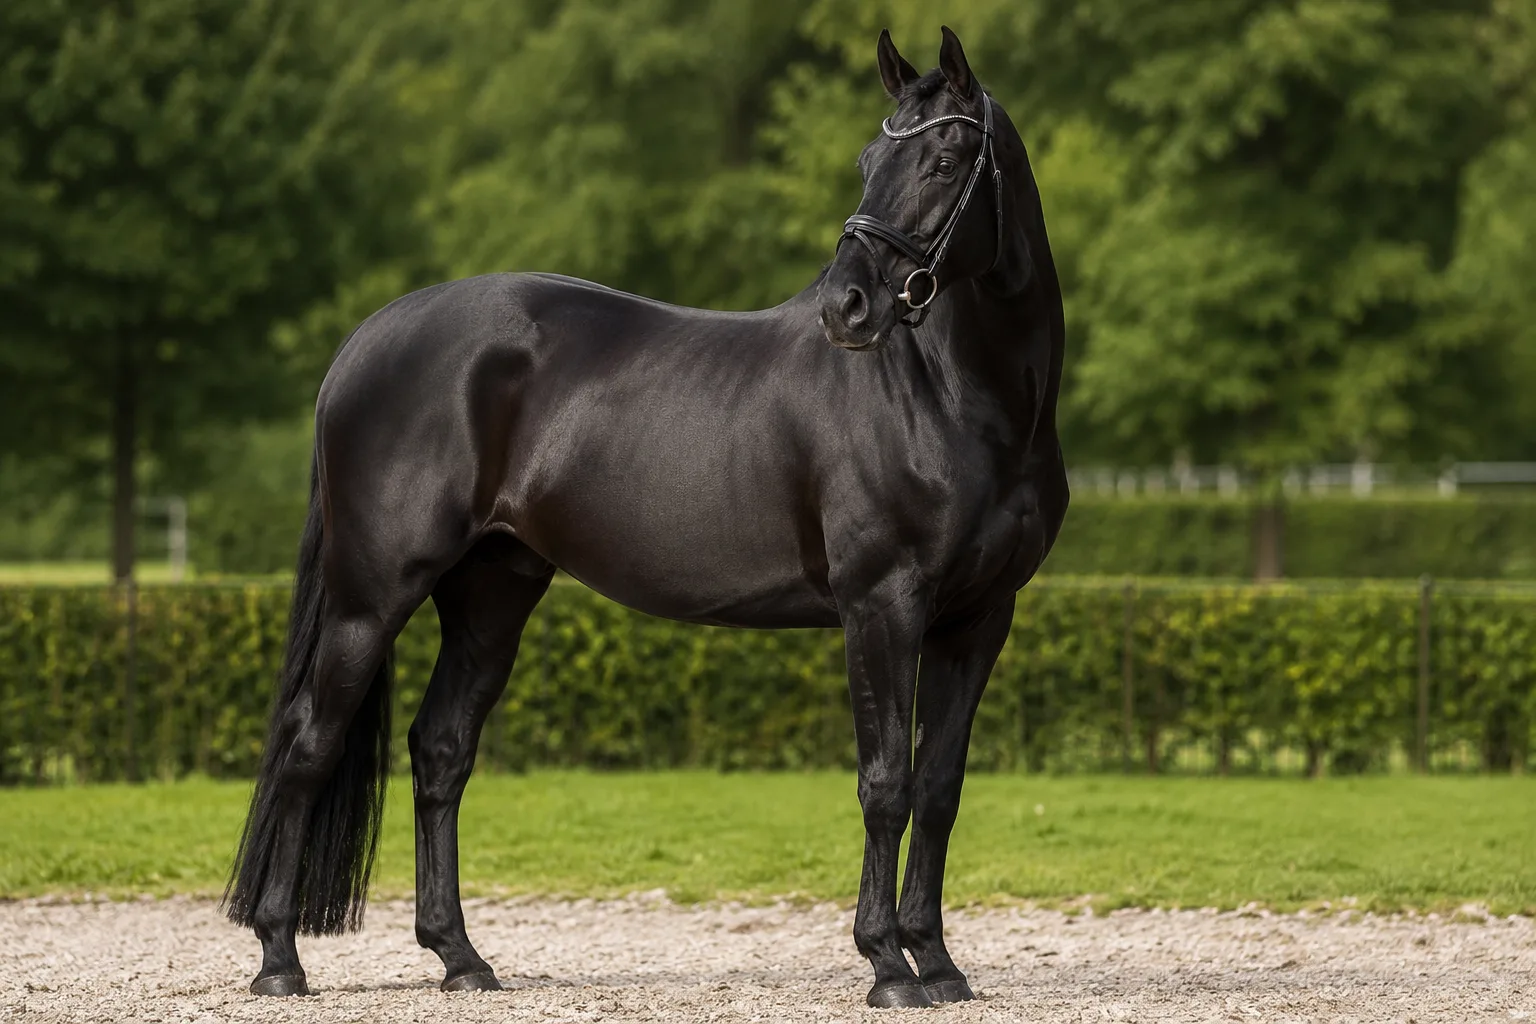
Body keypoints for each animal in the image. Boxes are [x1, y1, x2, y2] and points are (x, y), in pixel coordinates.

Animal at [224, 25, 1068, 1010]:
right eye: (868, 160)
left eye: (942, 158)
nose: (845, 306)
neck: (956, 399)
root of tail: (363, 342)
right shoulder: (883, 604)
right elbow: (886, 783)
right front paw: (888, 966)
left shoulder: (979, 617)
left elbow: (937, 789)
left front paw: (938, 964)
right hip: (371, 598)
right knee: (307, 746)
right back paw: (280, 959)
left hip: (491, 592)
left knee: (439, 751)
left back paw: (461, 958)